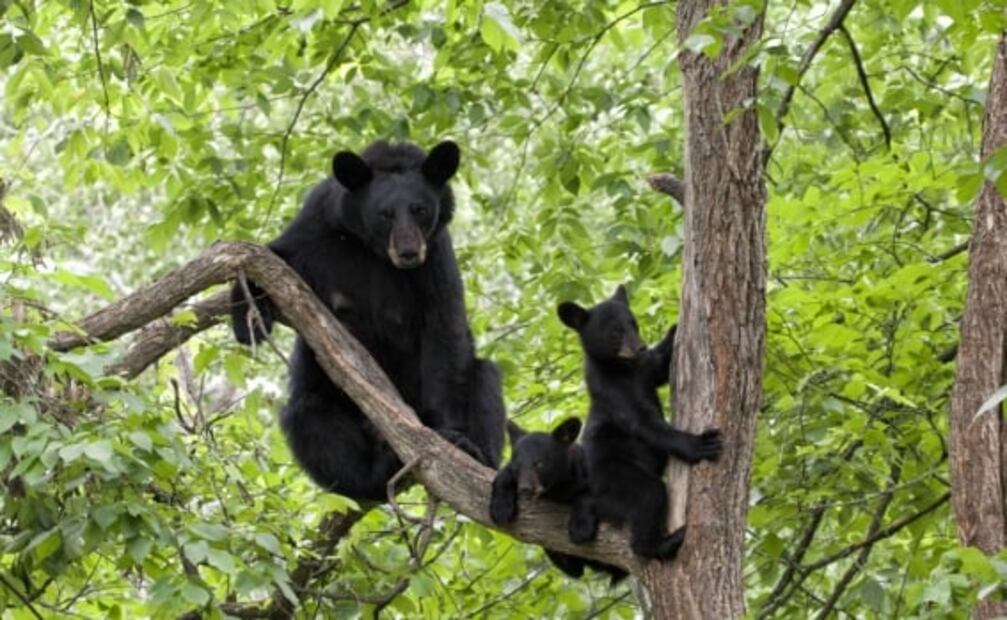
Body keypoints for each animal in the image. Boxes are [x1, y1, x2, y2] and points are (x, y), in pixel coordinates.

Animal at [230, 139, 505, 501]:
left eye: (420, 209)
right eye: (385, 213)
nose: (408, 252)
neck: (374, 251)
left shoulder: (436, 256)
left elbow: (444, 328)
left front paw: (452, 435)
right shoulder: (318, 224)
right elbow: (273, 257)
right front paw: (246, 319)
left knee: (484, 377)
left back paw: (477, 455)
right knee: (309, 418)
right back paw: (375, 473)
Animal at [489, 418, 627, 583]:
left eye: (539, 463)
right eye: (518, 465)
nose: (525, 489)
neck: (556, 489)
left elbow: (590, 495)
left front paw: (580, 528)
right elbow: (504, 474)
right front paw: (500, 508)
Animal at [557, 285, 722, 560]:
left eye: (633, 323)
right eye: (615, 331)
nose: (640, 347)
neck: (623, 369)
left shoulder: (644, 370)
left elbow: (661, 366)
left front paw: (674, 329)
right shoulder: (613, 393)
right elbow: (644, 424)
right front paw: (699, 444)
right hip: (615, 476)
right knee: (649, 495)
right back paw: (661, 544)